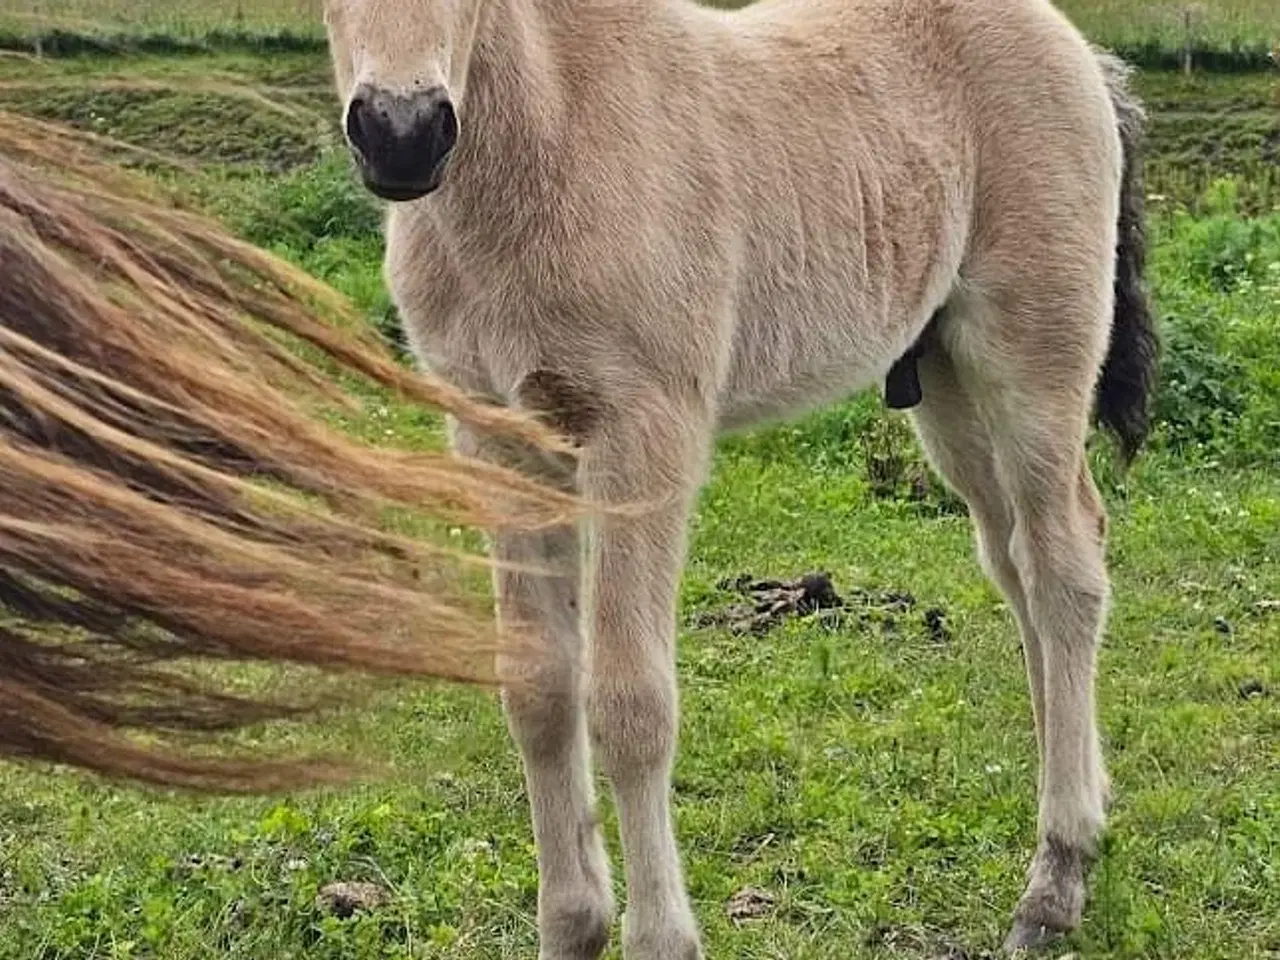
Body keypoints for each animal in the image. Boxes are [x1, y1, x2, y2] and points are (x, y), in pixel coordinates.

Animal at [322, 0, 1162, 952]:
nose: (401, 134)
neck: (553, 134)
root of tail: (1083, 53)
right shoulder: (494, 438)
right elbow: (537, 691)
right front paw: (572, 927)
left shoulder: (646, 434)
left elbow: (632, 704)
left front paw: (661, 939)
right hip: (945, 386)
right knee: (1017, 564)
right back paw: (1084, 809)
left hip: (1031, 365)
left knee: (1065, 572)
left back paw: (1055, 877)